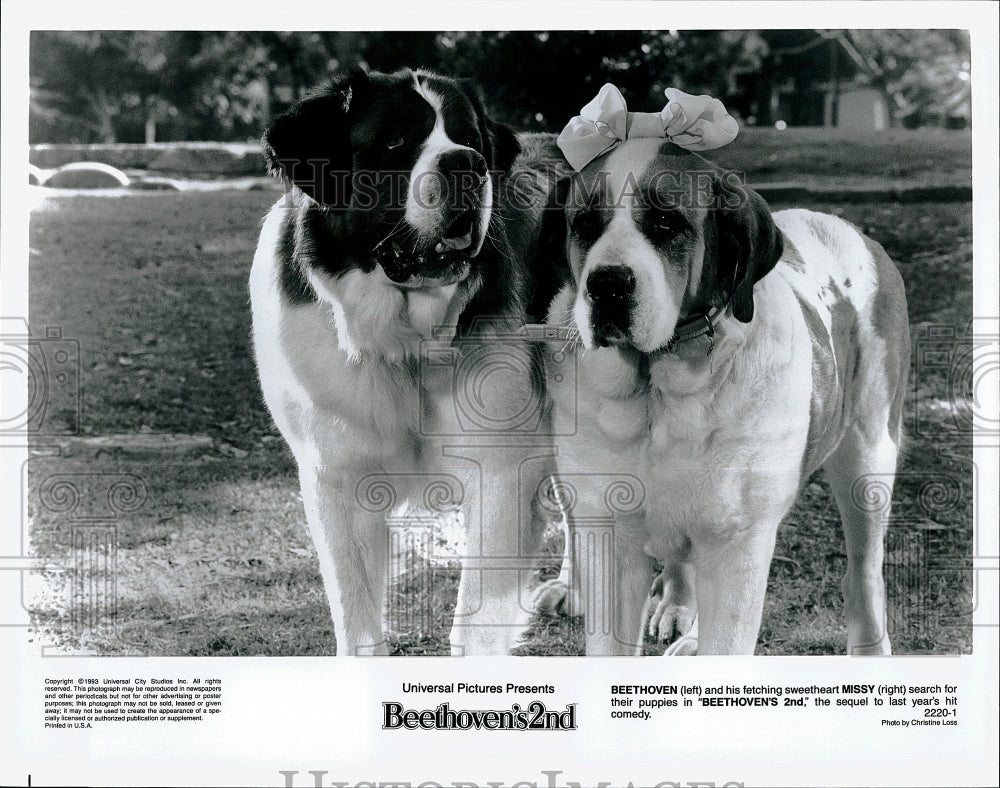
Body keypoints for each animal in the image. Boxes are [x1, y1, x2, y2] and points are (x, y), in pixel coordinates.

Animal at [250, 67, 564, 656]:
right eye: (395, 142)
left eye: (469, 137)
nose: (466, 163)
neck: (403, 342)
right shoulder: (337, 480)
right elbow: (357, 619)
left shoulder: (501, 473)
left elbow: (475, 625)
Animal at [536, 84, 912, 652]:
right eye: (583, 225)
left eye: (666, 222)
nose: (607, 284)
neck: (660, 391)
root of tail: (846, 226)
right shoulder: (610, 532)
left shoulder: (739, 545)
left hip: (869, 454)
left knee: (864, 570)